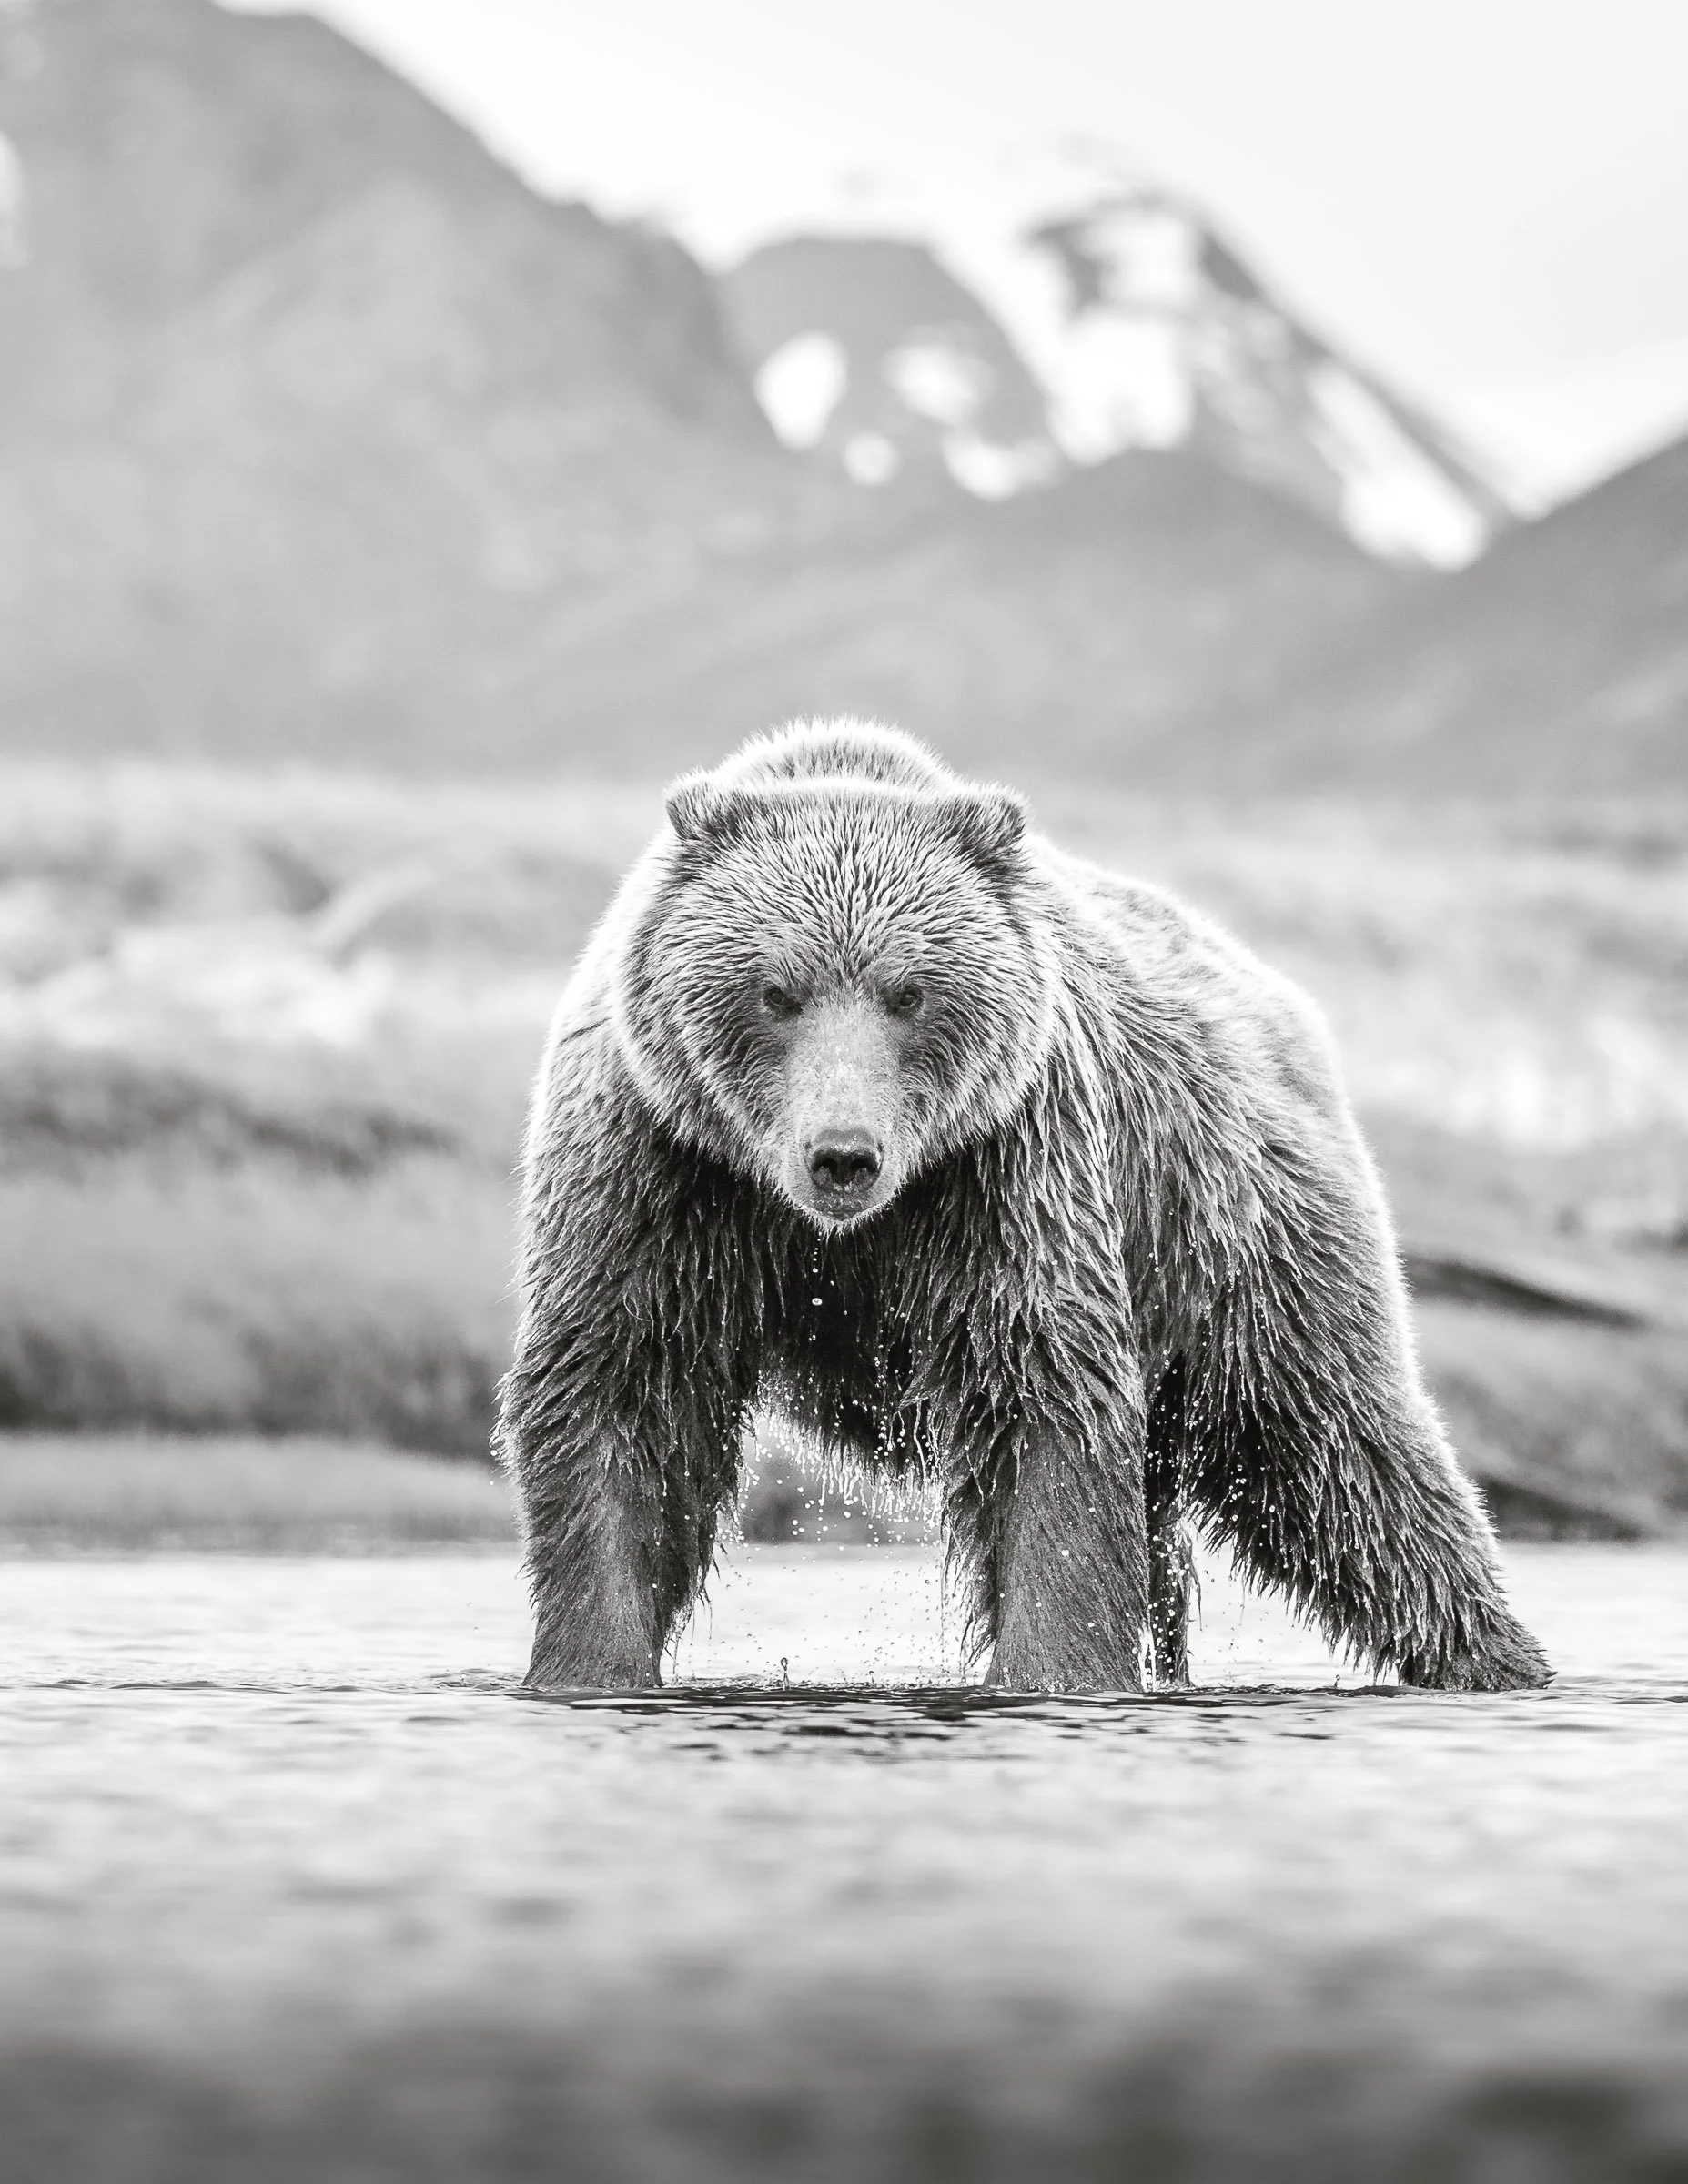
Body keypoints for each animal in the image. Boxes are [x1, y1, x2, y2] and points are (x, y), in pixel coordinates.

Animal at [498, 719, 1551, 1695]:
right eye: (775, 991)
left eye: (909, 992)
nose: (843, 1155)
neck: (836, 1232)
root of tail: (1281, 1003)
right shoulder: (664, 1176)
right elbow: (622, 1402)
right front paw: (588, 1663)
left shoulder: (1006, 1170)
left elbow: (1045, 1405)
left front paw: (1053, 1668)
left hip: (1233, 1234)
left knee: (1338, 1456)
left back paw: (1495, 1656)